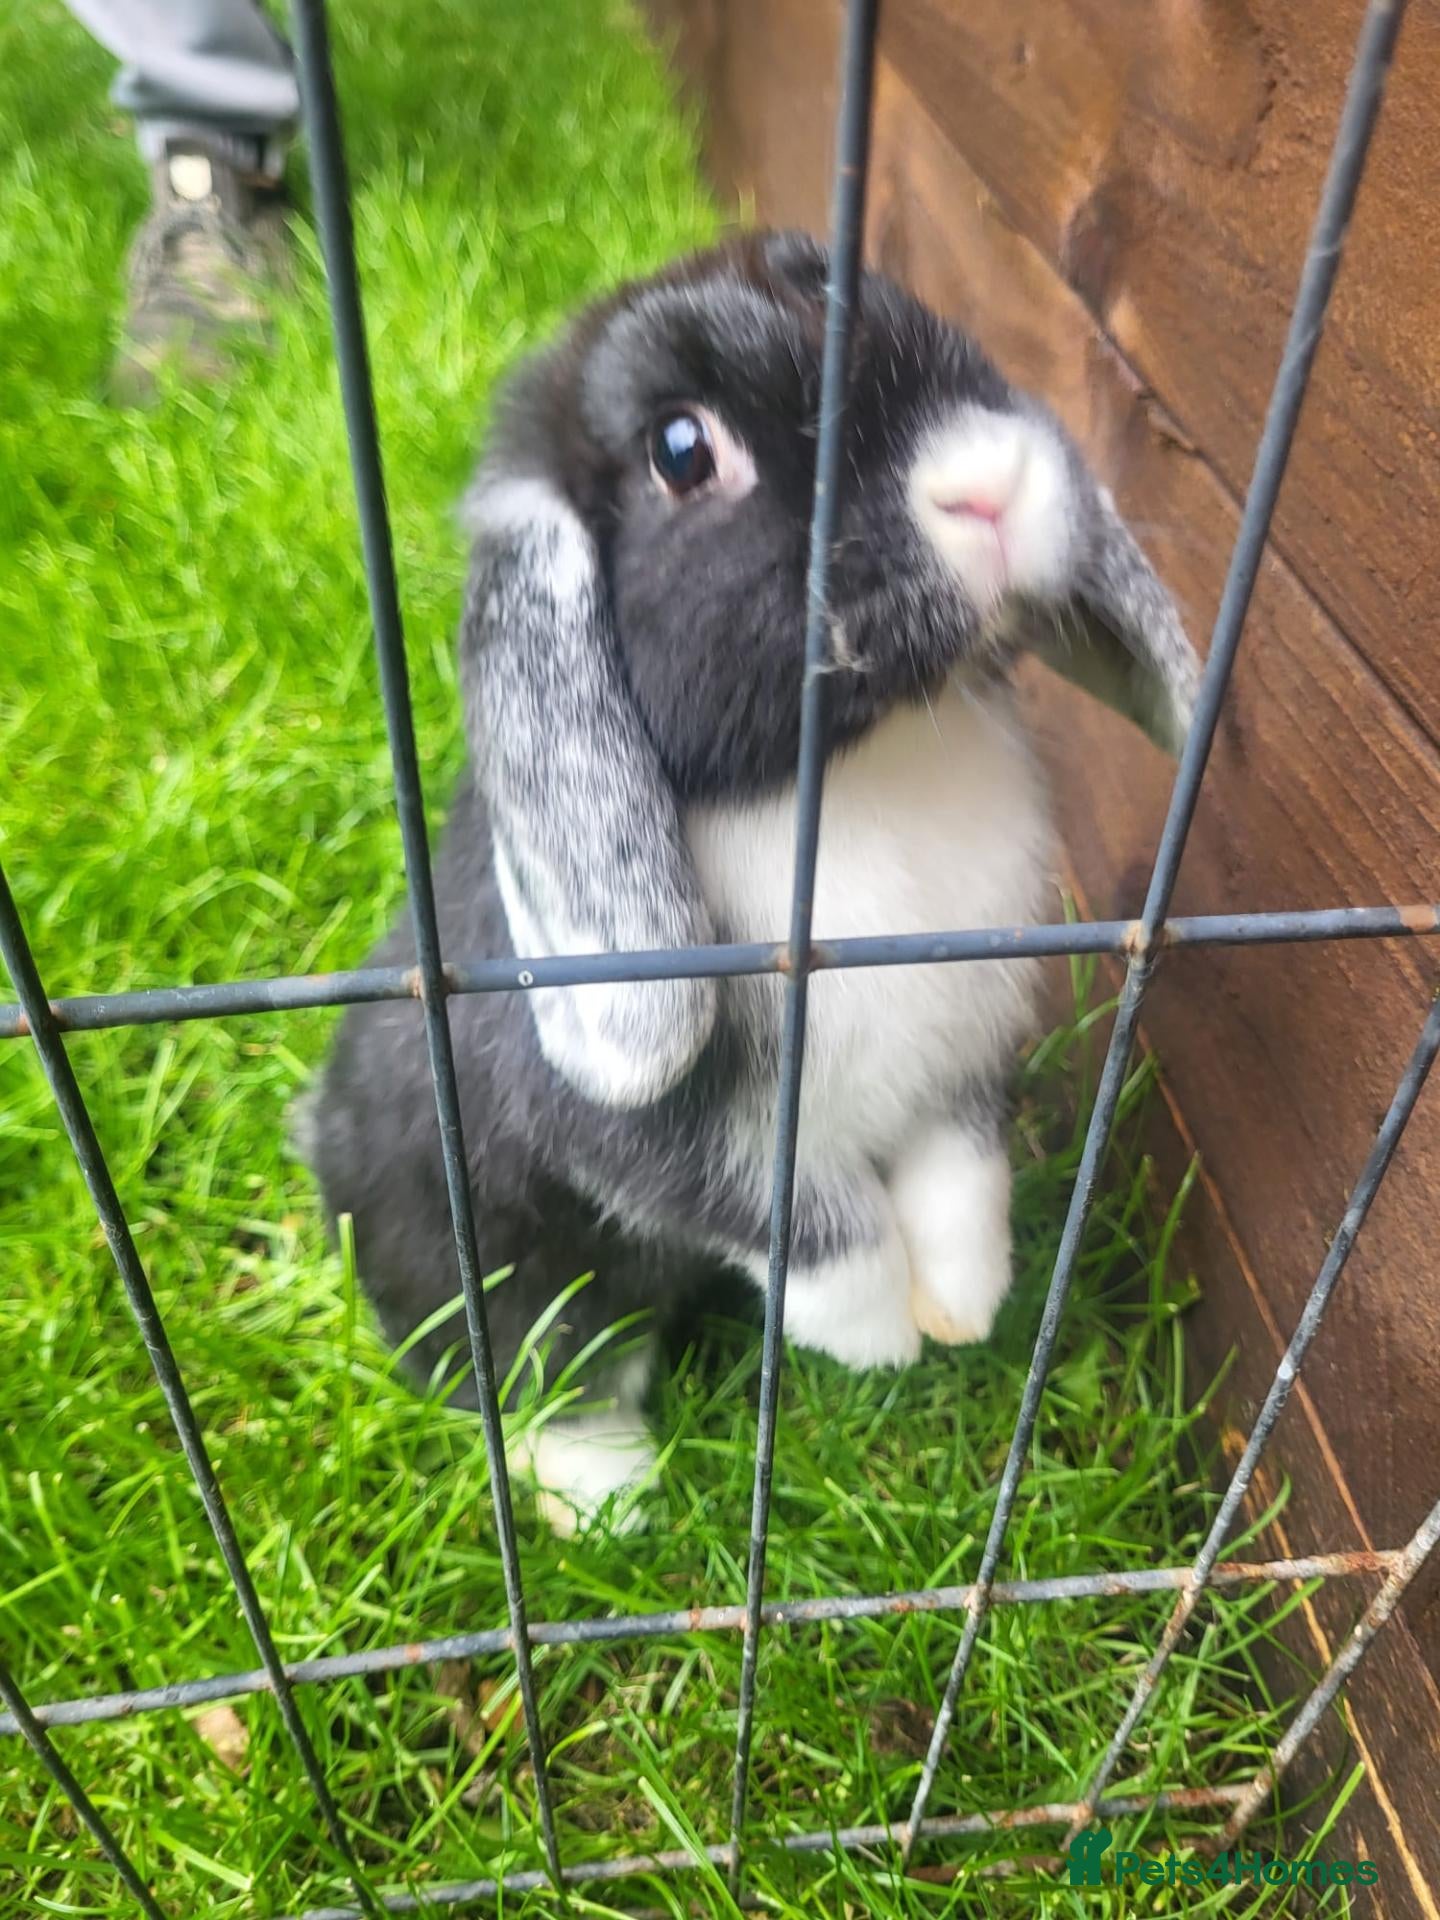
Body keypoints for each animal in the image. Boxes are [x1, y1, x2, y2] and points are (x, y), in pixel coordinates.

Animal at [295, 230, 1199, 1537]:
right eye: (682, 450)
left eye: (846, 281)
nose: (990, 481)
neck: (861, 770)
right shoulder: (670, 1147)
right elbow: (815, 1230)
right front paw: (881, 1339)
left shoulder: (959, 1065)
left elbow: (957, 1182)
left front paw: (964, 1305)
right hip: (508, 1276)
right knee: (531, 1377)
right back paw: (611, 1501)